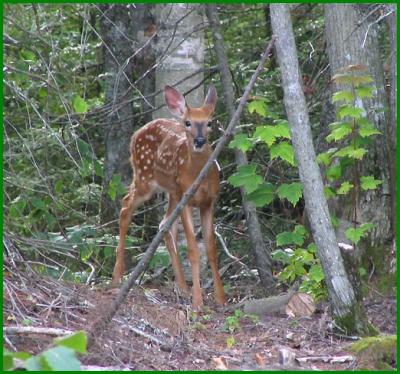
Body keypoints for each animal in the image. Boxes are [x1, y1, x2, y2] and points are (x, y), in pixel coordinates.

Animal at [111, 86, 227, 308]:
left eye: (209, 122)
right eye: (188, 122)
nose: (199, 141)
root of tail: (136, 133)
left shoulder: (209, 202)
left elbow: (211, 249)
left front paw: (221, 298)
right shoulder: (186, 200)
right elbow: (193, 249)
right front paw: (198, 301)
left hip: (173, 191)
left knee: (163, 223)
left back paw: (182, 287)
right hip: (145, 178)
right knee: (125, 206)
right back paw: (117, 276)